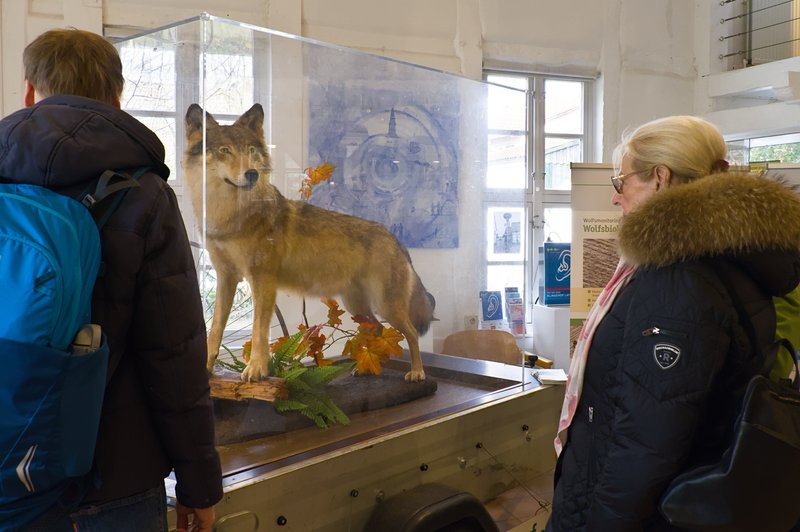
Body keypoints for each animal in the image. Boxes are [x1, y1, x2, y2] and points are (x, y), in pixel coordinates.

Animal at [183, 103, 435, 382]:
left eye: (250, 151)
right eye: (224, 150)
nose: (251, 174)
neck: (229, 216)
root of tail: (395, 239)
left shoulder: (263, 281)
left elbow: (259, 332)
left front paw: (256, 369)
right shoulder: (226, 278)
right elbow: (215, 329)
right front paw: (206, 367)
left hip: (386, 306)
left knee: (410, 333)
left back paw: (416, 372)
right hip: (358, 308)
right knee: (379, 330)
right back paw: (367, 368)